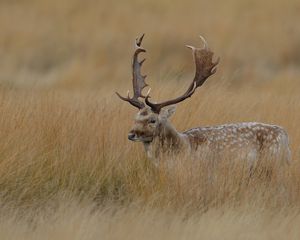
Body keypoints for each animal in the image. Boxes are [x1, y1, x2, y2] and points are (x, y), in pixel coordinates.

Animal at [116, 34, 292, 167]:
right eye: (135, 117)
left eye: (152, 120)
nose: (131, 134)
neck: (184, 148)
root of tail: (285, 136)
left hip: (272, 164)